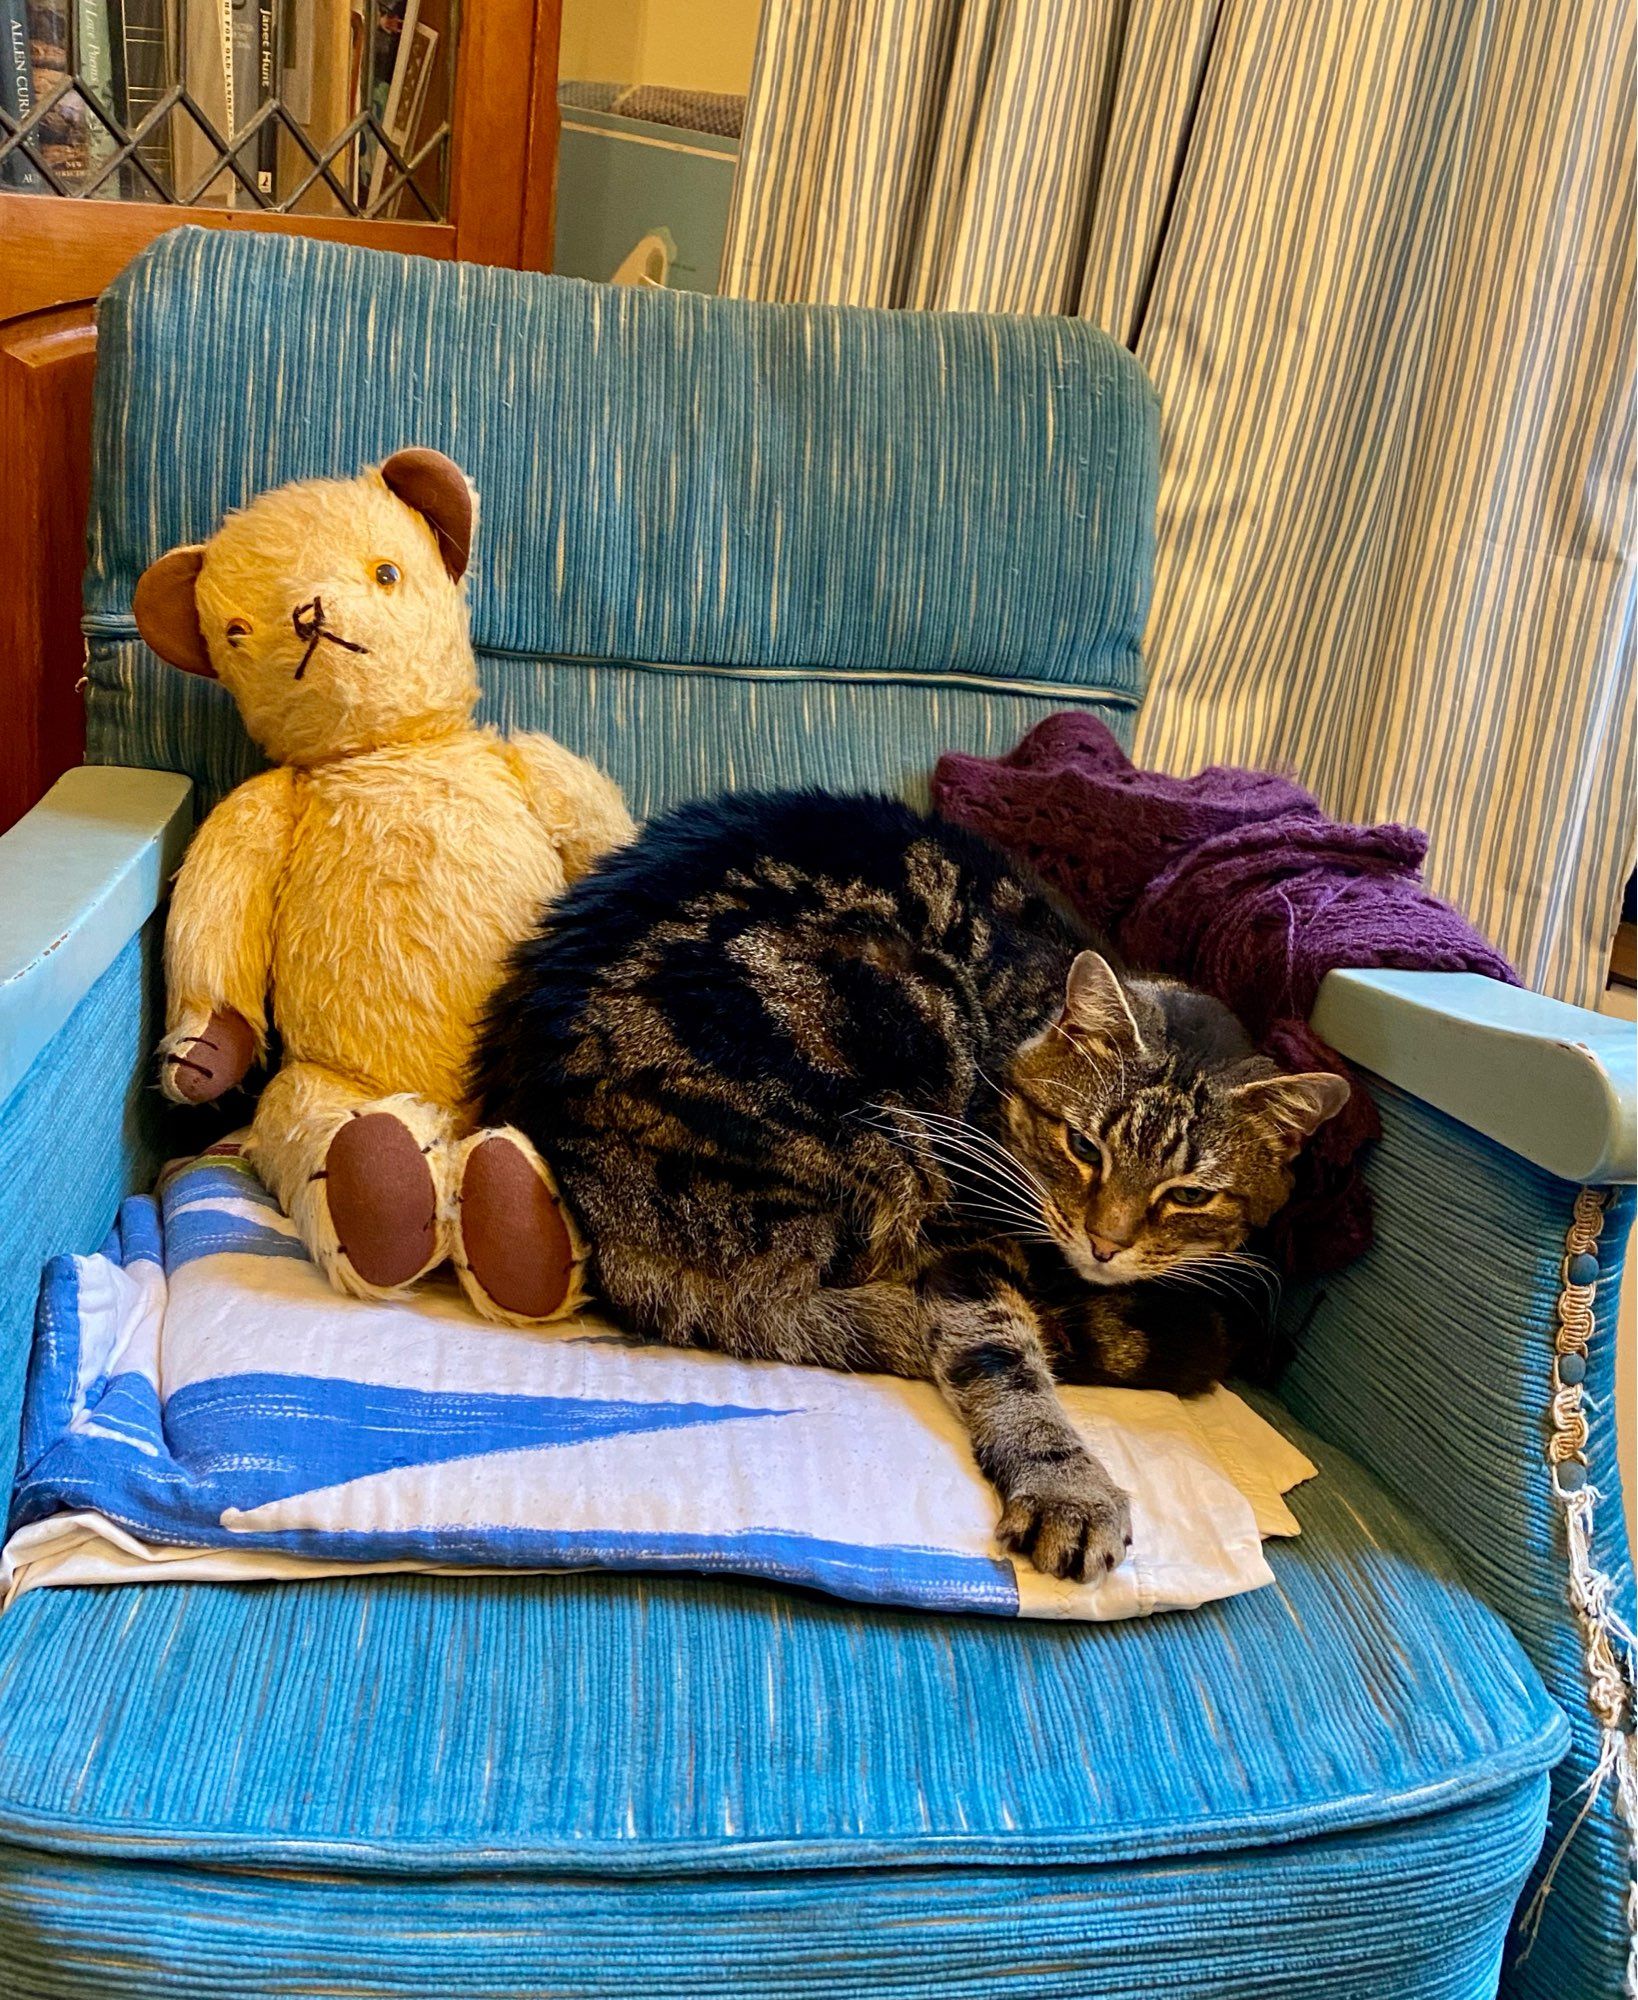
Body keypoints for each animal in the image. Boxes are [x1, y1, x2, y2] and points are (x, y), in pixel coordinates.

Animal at [474, 788, 1344, 1584]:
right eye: (1083, 1146)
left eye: (1189, 1195)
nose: (1106, 1242)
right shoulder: (964, 1237)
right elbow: (1004, 1357)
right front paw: (1067, 1489)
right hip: (892, 1093)